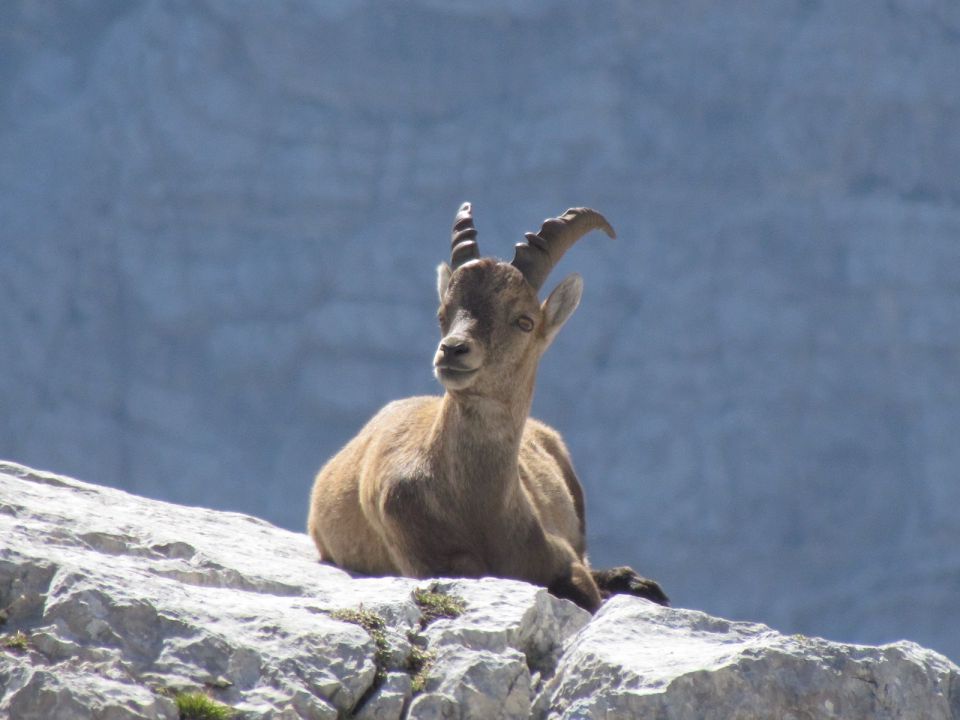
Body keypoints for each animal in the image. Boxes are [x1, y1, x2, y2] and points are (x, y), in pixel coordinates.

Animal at [310, 204, 668, 612]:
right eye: (442, 314)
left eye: (524, 321)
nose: (452, 350)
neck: (481, 512)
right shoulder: (427, 560)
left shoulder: (562, 558)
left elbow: (584, 584)